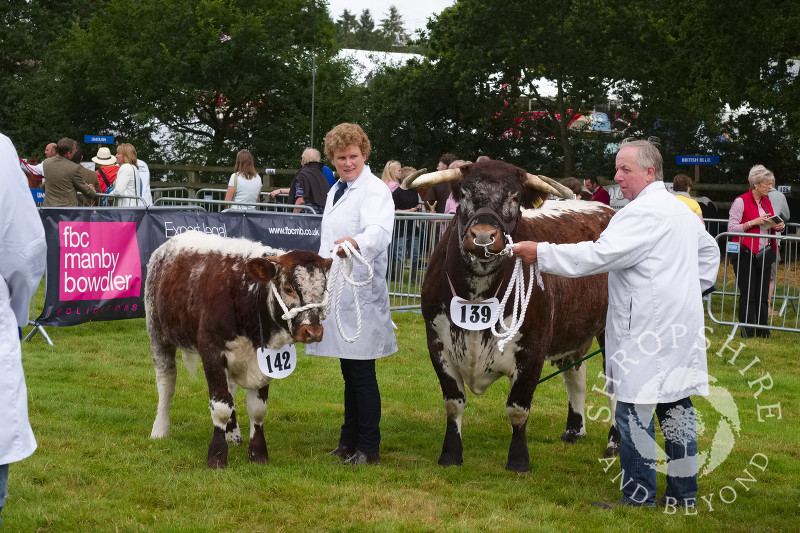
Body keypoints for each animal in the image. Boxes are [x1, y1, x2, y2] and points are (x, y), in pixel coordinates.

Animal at [145, 231, 330, 468]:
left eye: (323, 290)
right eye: (289, 288)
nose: (313, 330)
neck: (247, 297)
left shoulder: (266, 360)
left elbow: (257, 410)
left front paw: (258, 453)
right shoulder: (211, 350)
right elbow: (221, 406)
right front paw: (216, 456)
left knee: (230, 389)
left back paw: (232, 434)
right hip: (158, 334)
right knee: (166, 384)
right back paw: (160, 429)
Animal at [406, 160, 620, 472]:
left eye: (515, 197)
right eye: (465, 194)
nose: (483, 237)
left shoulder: (532, 349)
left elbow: (518, 409)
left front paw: (518, 461)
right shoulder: (438, 343)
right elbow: (453, 403)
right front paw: (450, 454)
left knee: (616, 386)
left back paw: (614, 443)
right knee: (574, 374)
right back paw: (574, 429)